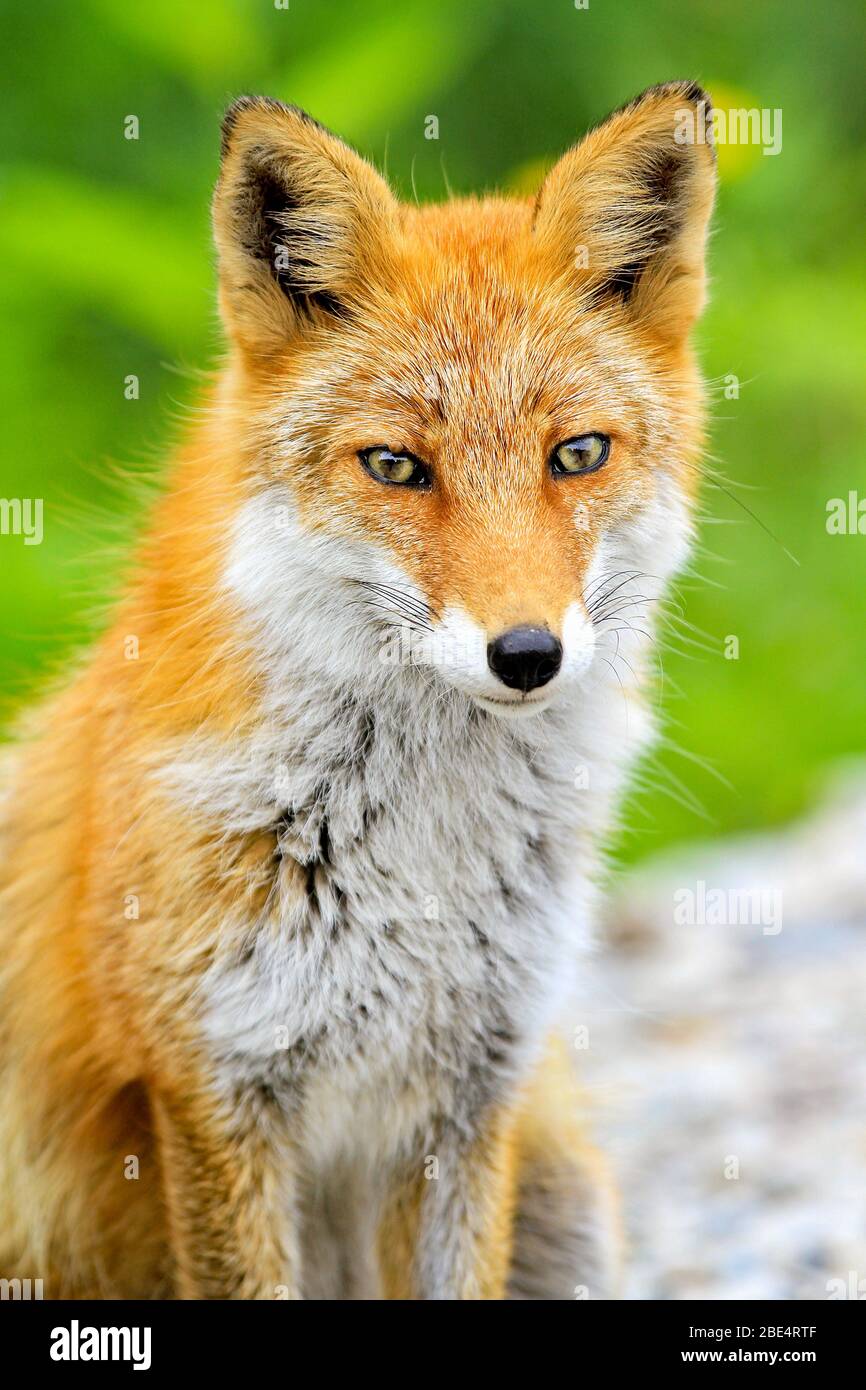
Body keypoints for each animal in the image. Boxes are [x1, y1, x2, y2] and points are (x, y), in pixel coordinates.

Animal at [0, 82, 715, 1300]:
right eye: (395, 466)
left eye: (576, 453)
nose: (527, 654)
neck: (421, 852)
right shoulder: (213, 1089)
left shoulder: (471, 1090)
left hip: (565, 1196)